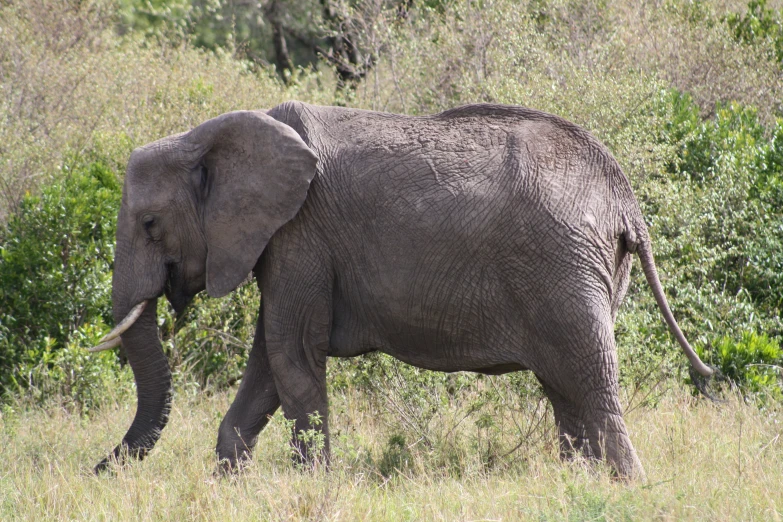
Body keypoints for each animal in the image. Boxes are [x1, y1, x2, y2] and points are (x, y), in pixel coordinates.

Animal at [89, 99, 712, 478]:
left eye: (149, 224)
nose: (98, 468)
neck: (209, 135)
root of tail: (625, 199)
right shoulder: (285, 244)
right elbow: (268, 363)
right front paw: (231, 485)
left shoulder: (298, 234)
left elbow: (291, 356)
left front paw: (312, 485)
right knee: (568, 393)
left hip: (564, 268)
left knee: (590, 386)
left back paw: (628, 488)